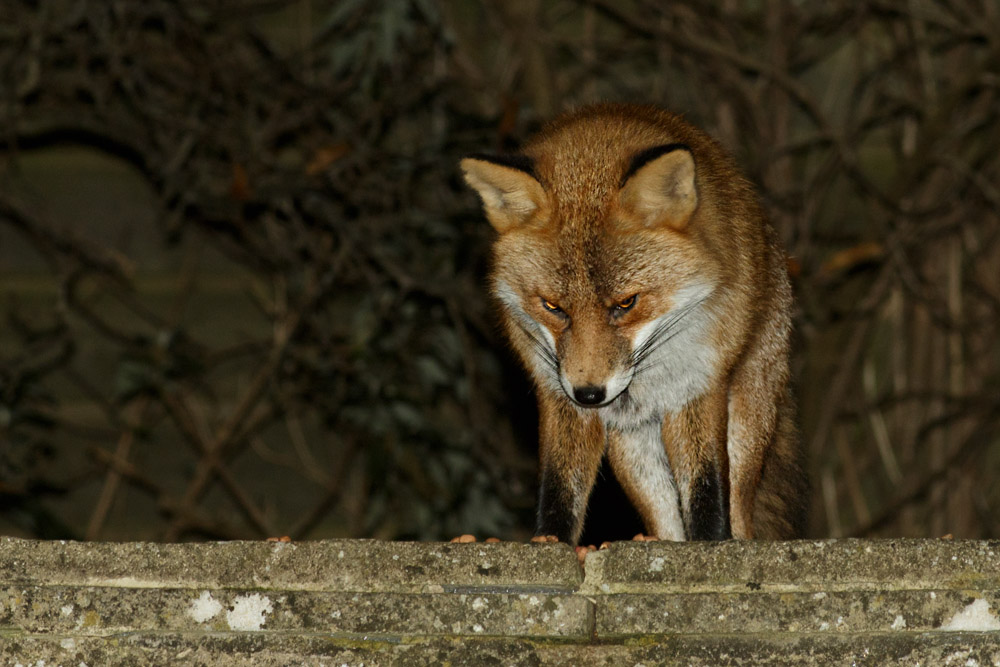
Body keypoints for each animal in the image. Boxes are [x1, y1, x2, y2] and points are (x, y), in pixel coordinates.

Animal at [460, 103, 807, 545]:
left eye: (626, 303)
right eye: (553, 307)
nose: (590, 393)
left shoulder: (697, 387)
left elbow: (707, 484)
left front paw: (711, 543)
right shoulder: (557, 395)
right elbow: (560, 487)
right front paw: (550, 542)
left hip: (745, 423)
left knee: (740, 507)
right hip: (635, 451)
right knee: (666, 520)